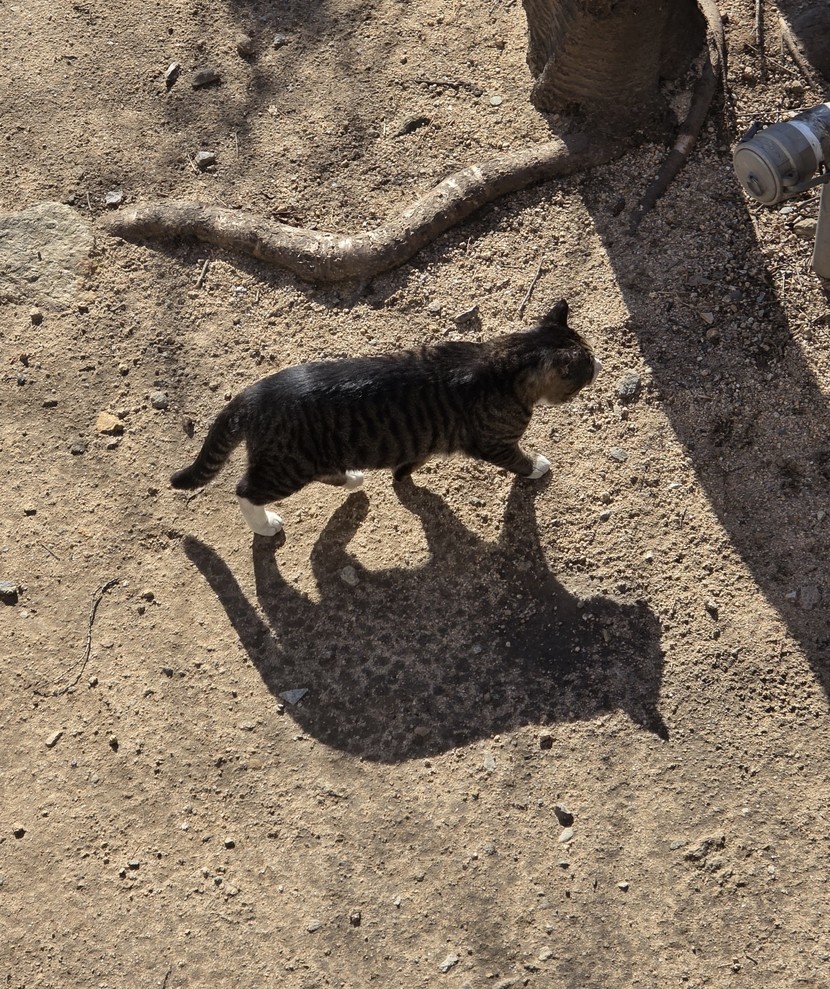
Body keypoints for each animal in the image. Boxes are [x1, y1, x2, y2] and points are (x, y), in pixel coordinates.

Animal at [170, 299, 601, 536]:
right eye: (586, 364)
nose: (600, 364)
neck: (500, 360)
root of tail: (256, 391)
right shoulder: (494, 442)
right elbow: (518, 459)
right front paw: (537, 466)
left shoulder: (425, 437)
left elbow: (412, 460)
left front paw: (402, 477)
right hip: (287, 466)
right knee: (245, 490)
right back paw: (265, 524)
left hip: (308, 458)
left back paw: (352, 478)